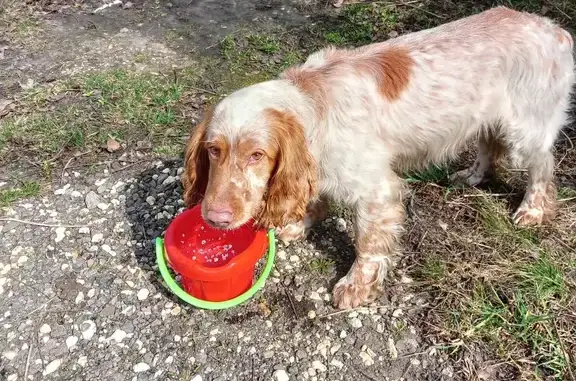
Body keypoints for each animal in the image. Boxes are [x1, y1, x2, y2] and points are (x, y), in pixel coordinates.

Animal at [182, 6, 572, 308]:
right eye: (213, 150)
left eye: (257, 155)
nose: (215, 217)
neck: (312, 102)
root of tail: (555, 30)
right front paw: (300, 222)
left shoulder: (378, 193)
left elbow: (367, 244)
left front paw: (356, 286)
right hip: (490, 120)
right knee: (490, 147)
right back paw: (471, 177)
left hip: (525, 132)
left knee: (542, 165)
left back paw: (533, 210)